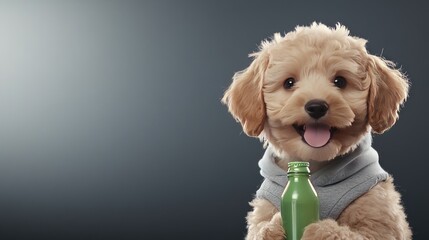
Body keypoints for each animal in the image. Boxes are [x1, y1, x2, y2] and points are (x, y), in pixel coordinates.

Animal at [222, 23, 410, 240]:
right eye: (289, 83)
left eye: (340, 81)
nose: (316, 107)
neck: (315, 163)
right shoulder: (264, 209)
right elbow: (259, 230)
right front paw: (273, 227)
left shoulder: (380, 221)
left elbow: (353, 234)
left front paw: (318, 229)